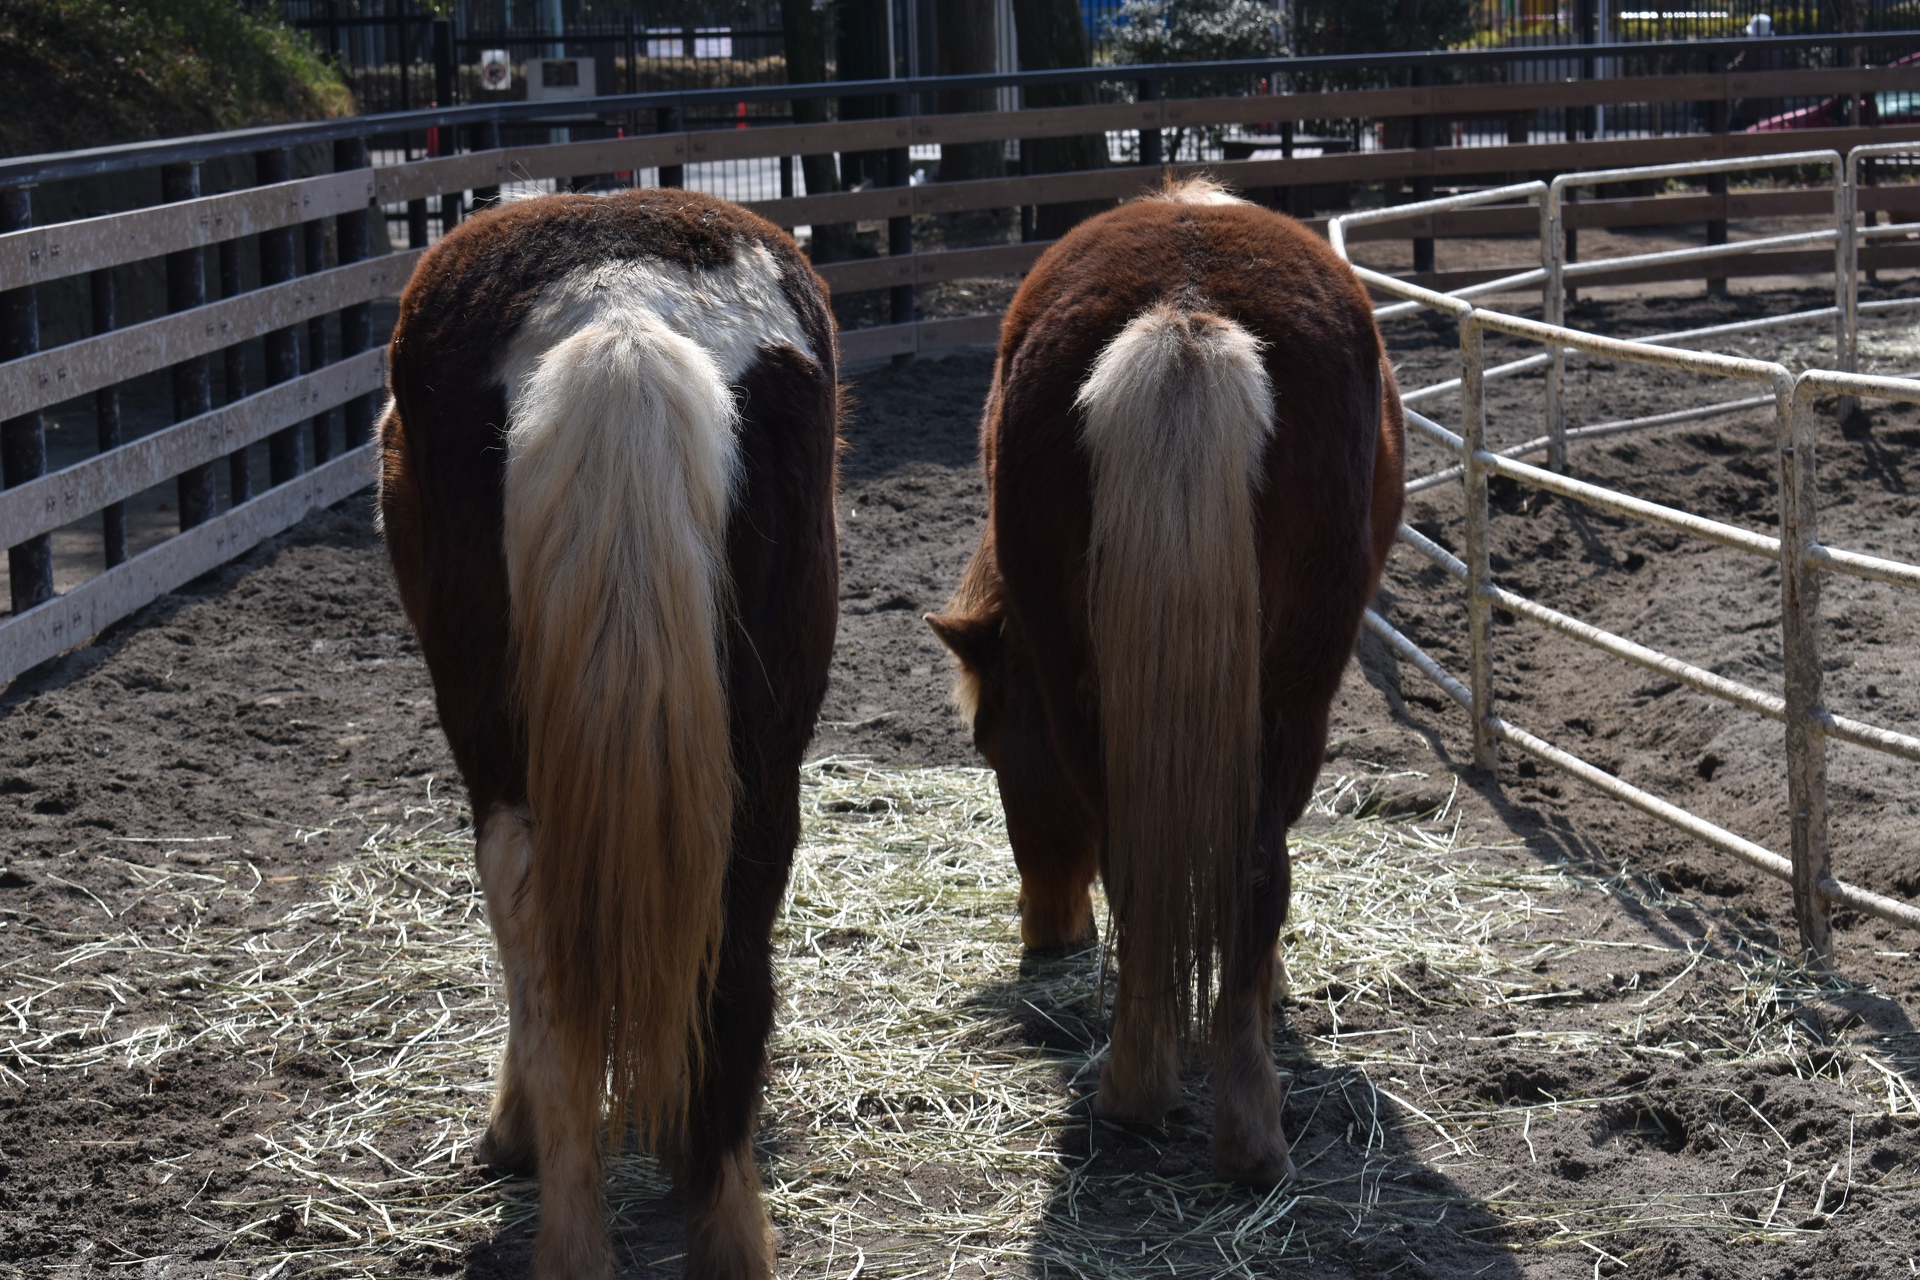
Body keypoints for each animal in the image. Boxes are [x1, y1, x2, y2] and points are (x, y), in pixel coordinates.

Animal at [382, 185, 840, 1274]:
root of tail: (625, 310)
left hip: (497, 743)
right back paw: (724, 1224)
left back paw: (572, 1230)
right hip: (760, 754)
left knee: (535, 927)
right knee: (734, 919)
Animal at [921, 180, 1405, 1182]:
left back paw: (1157, 1097)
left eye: (989, 747)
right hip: (1293, 693)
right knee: (1251, 867)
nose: (1046, 935)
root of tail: (1186, 313)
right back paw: (1227, 1121)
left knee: (1145, 863)